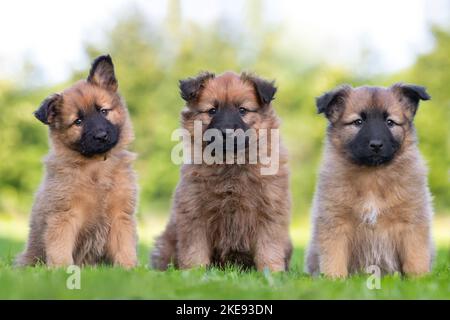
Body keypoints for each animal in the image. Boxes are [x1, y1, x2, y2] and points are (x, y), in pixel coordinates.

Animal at [15, 55, 138, 268]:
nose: (101, 136)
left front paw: (129, 269)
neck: (96, 166)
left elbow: (124, 247)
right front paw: (62, 270)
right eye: (78, 122)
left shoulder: (120, 215)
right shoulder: (64, 215)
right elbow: (60, 248)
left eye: (103, 111)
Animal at [151, 71, 292, 272]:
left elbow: (269, 248)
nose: (226, 132)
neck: (230, 163)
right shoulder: (193, 211)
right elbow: (195, 249)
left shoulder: (270, 211)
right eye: (212, 111)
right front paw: (194, 272)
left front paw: (272, 272)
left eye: (242, 110)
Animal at [304, 82, 434, 278]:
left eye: (390, 122)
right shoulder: (335, 223)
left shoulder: (412, 222)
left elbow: (415, 258)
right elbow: (334, 258)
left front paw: (418, 280)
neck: (373, 177)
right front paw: (334, 280)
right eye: (358, 122)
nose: (376, 145)